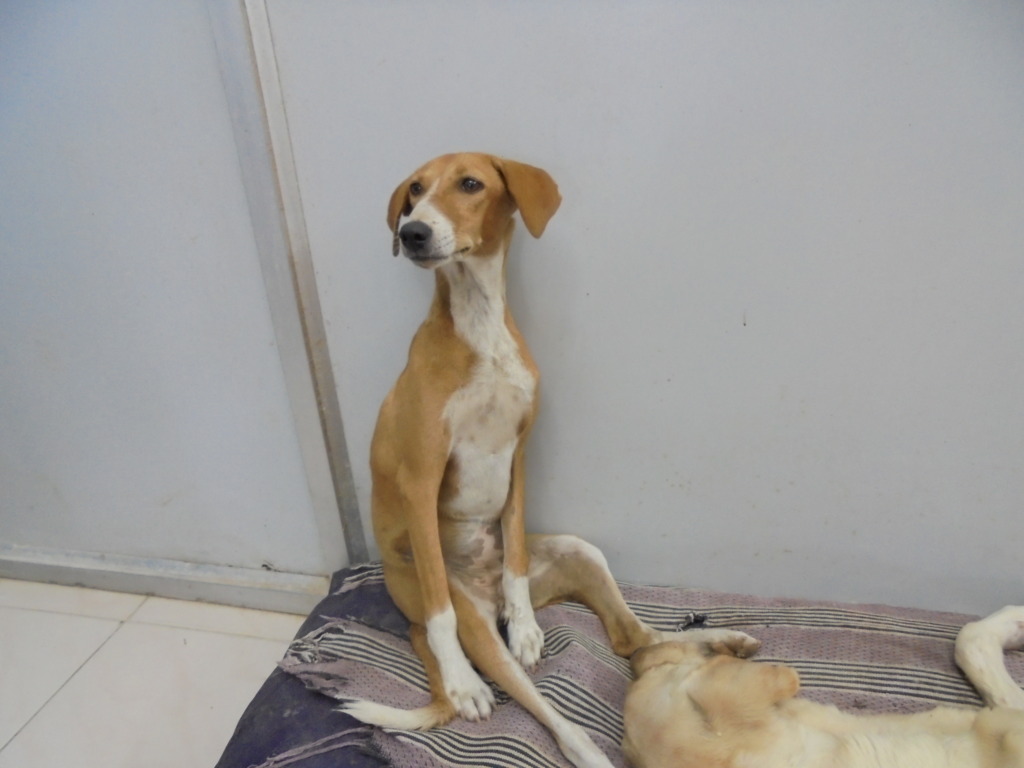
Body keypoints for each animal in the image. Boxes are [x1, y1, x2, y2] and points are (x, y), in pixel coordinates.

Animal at [339, 152, 760, 768]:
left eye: (470, 183)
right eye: (414, 190)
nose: (412, 231)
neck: (479, 323)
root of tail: (481, 593)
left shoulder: (518, 457)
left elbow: (515, 549)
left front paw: (527, 627)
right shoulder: (420, 480)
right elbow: (444, 615)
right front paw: (461, 681)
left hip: (579, 552)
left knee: (633, 639)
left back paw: (718, 640)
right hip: (475, 625)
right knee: (548, 710)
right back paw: (565, 735)